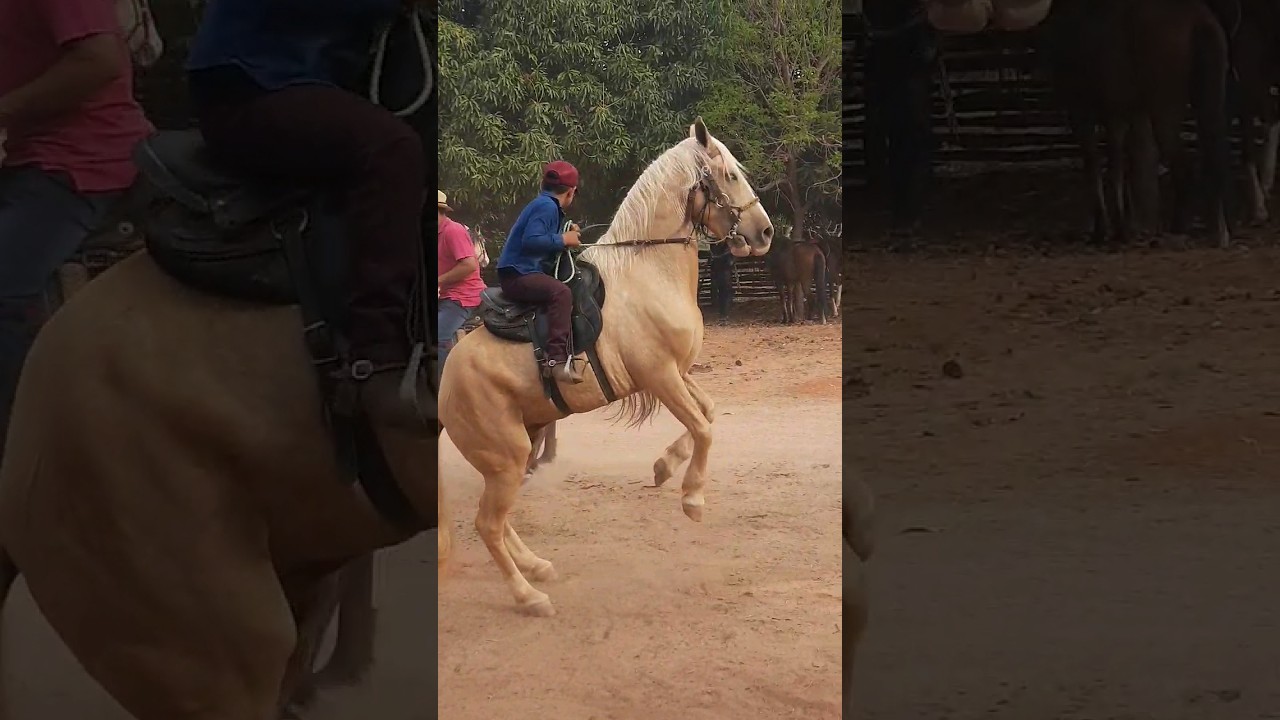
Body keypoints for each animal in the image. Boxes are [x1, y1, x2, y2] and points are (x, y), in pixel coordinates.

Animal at [438, 118, 773, 616]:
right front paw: (692, 497)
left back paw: (537, 566)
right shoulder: (660, 375)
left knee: (498, 518)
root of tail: (444, 381)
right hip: (505, 455)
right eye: (730, 175)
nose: (765, 232)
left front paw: (664, 467)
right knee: (487, 525)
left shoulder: (679, 373)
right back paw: (529, 595)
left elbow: (708, 414)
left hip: (514, 449)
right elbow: (703, 428)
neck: (649, 271)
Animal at [1041, 0, 1231, 246]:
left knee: (1183, 164)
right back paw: (1219, 231)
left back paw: (1178, 228)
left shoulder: (1082, 109)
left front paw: (1104, 230)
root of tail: (1200, 19)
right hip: (1209, 94)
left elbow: (1095, 165)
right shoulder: (1123, 112)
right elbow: (1119, 165)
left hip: (1164, 105)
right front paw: (1122, 229)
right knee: (1214, 151)